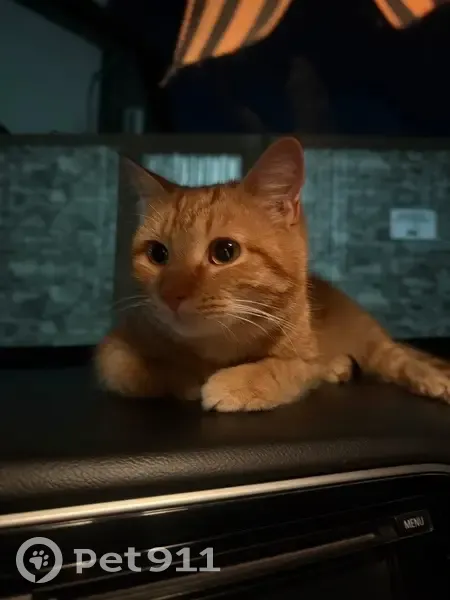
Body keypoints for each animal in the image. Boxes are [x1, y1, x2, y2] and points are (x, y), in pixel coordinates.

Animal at [95, 137, 450, 412]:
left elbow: (283, 368)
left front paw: (235, 382)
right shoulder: (113, 352)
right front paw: (191, 375)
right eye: (157, 254)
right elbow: (143, 368)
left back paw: (433, 379)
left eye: (224, 252)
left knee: (400, 357)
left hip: (372, 341)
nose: (171, 295)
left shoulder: (304, 359)